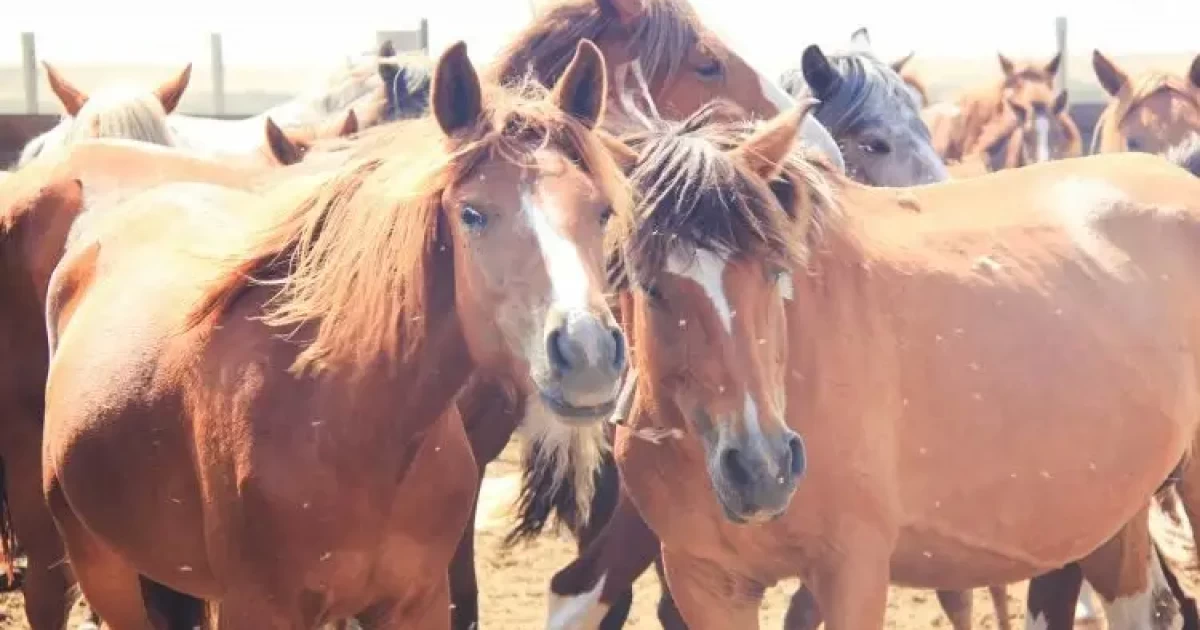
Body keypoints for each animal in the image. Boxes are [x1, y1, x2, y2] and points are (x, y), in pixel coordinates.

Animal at [39, 40, 628, 628]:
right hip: (103, 570)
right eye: (473, 214)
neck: (346, 420)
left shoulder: (417, 602)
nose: (588, 354)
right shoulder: (256, 608)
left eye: (601, 212)